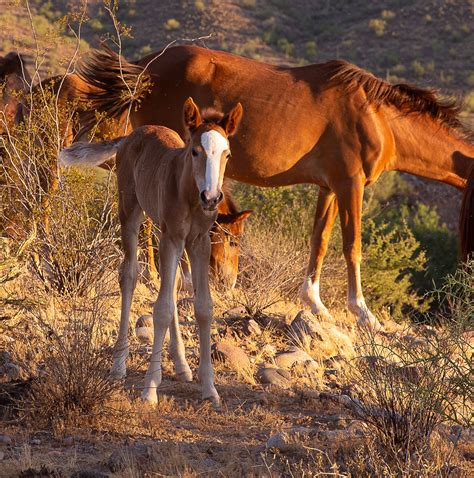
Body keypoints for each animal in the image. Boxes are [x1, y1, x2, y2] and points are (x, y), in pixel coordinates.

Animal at [60, 99, 243, 406]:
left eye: (227, 155)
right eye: (195, 151)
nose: (211, 198)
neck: (190, 193)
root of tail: (132, 134)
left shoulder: (198, 241)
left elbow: (203, 307)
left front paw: (210, 389)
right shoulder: (172, 238)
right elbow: (162, 309)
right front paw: (150, 389)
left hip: (161, 230)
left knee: (172, 283)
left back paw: (182, 366)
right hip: (131, 212)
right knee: (129, 275)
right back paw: (118, 365)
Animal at [78, 44, 474, 328]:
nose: (466, 270)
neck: (376, 116)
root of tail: (144, 67)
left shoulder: (330, 187)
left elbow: (320, 240)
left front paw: (315, 304)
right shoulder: (351, 184)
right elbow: (352, 246)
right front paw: (363, 313)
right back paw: (166, 278)